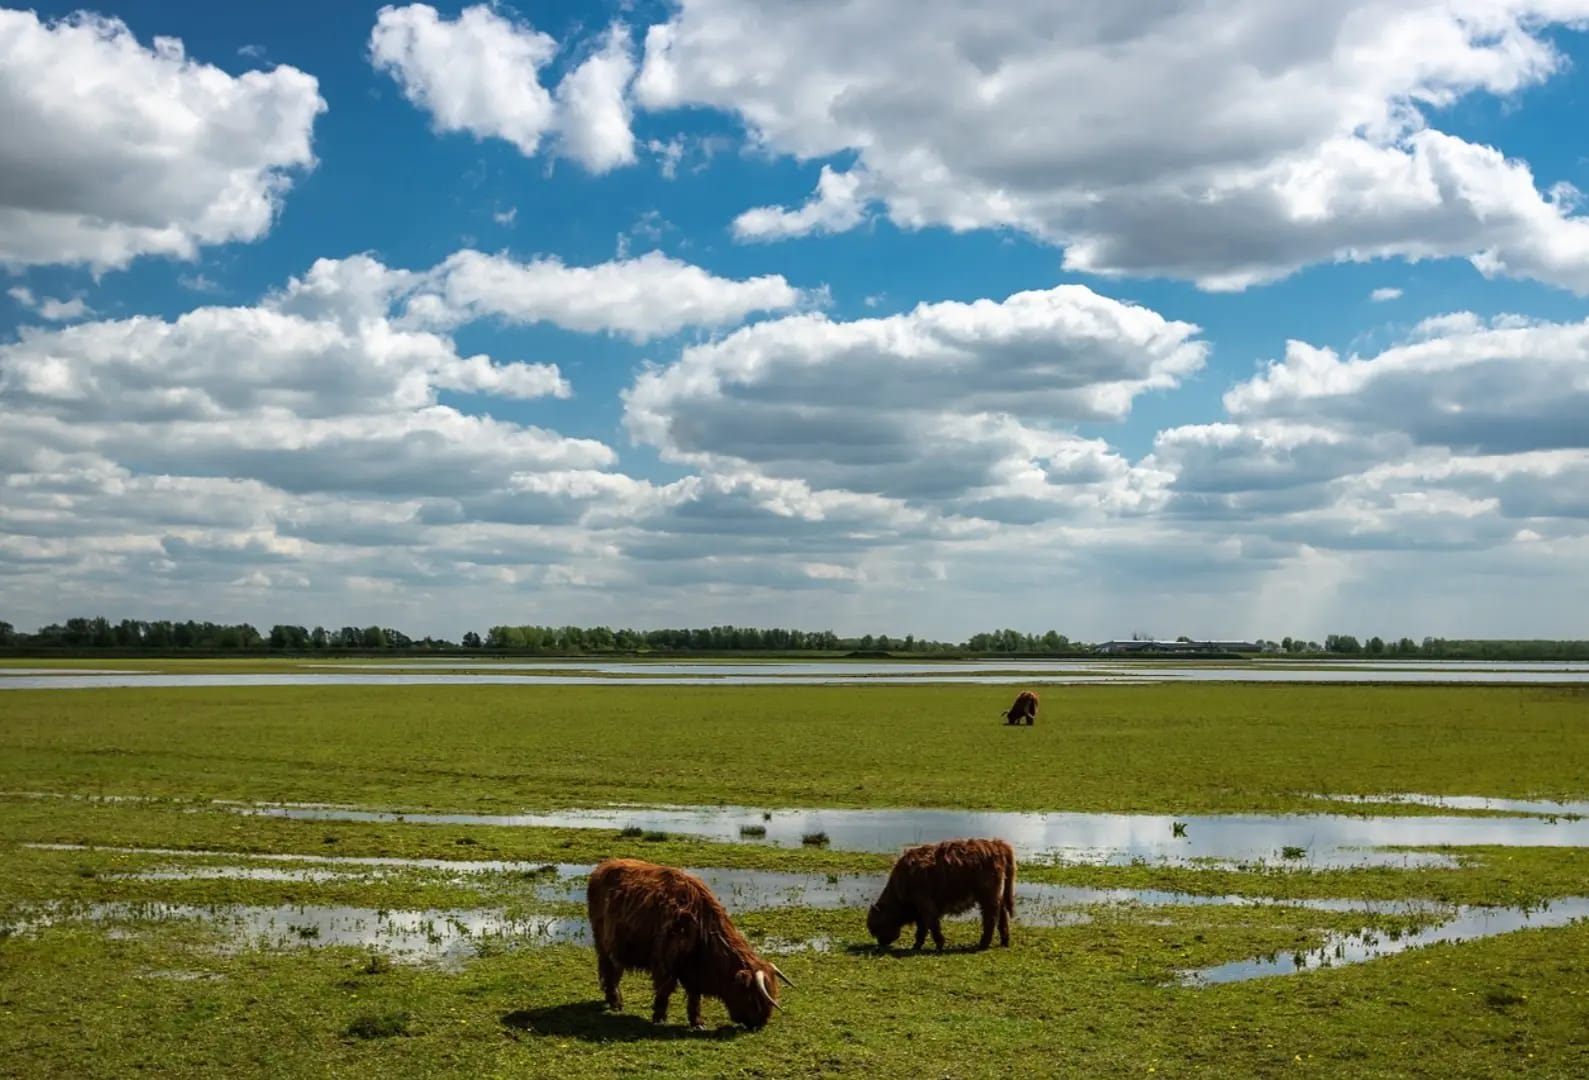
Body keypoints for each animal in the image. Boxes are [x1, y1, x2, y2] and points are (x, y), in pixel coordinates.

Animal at [586, 858, 795, 1030]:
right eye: (754, 997)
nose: (761, 1023)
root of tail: (603, 866)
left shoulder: (694, 970)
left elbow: (695, 997)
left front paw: (697, 1022)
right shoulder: (665, 961)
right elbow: (665, 989)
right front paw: (659, 1017)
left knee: (615, 970)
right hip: (602, 941)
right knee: (608, 969)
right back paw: (615, 1002)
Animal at [866, 837, 1017, 951]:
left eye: (875, 929)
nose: (881, 944)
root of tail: (997, 844)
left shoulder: (924, 902)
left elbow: (931, 924)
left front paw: (938, 944)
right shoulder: (919, 907)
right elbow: (922, 927)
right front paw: (917, 945)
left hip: (987, 892)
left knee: (990, 916)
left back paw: (983, 944)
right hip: (996, 892)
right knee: (1002, 912)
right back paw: (1004, 940)